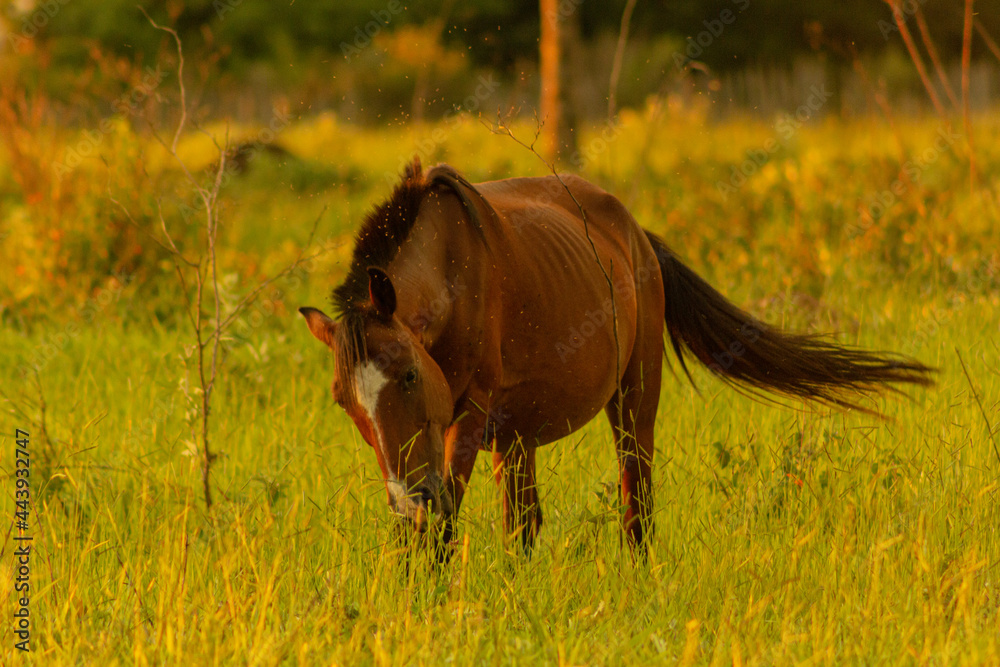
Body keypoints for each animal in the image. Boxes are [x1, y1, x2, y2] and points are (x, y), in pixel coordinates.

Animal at [300, 158, 932, 552]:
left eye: (409, 375)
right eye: (343, 402)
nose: (409, 499)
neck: (452, 271)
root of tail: (637, 234)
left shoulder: (470, 416)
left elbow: (445, 521)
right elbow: (435, 528)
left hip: (633, 398)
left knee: (636, 505)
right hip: (516, 435)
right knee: (524, 524)